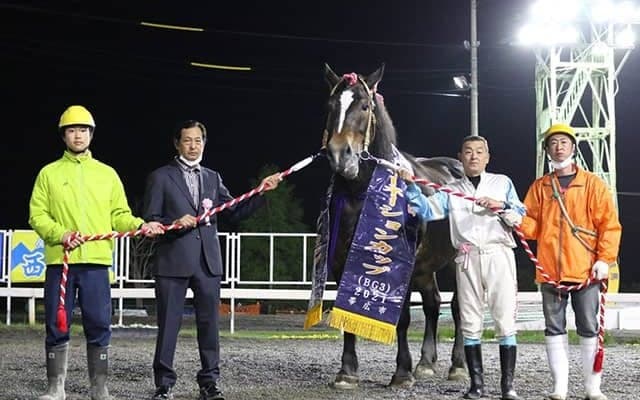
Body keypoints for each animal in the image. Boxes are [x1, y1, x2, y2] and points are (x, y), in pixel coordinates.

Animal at [321, 63, 466, 389]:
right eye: (331, 105)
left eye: (364, 106)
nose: (339, 155)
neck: (363, 193)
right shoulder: (341, 260)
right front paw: (347, 372)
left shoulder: (401, 264)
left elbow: (402, 318)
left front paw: (401, 372)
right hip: (426, 266)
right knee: (433, 303)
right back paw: (426, 363)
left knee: (458, 307)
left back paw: (458, 366)